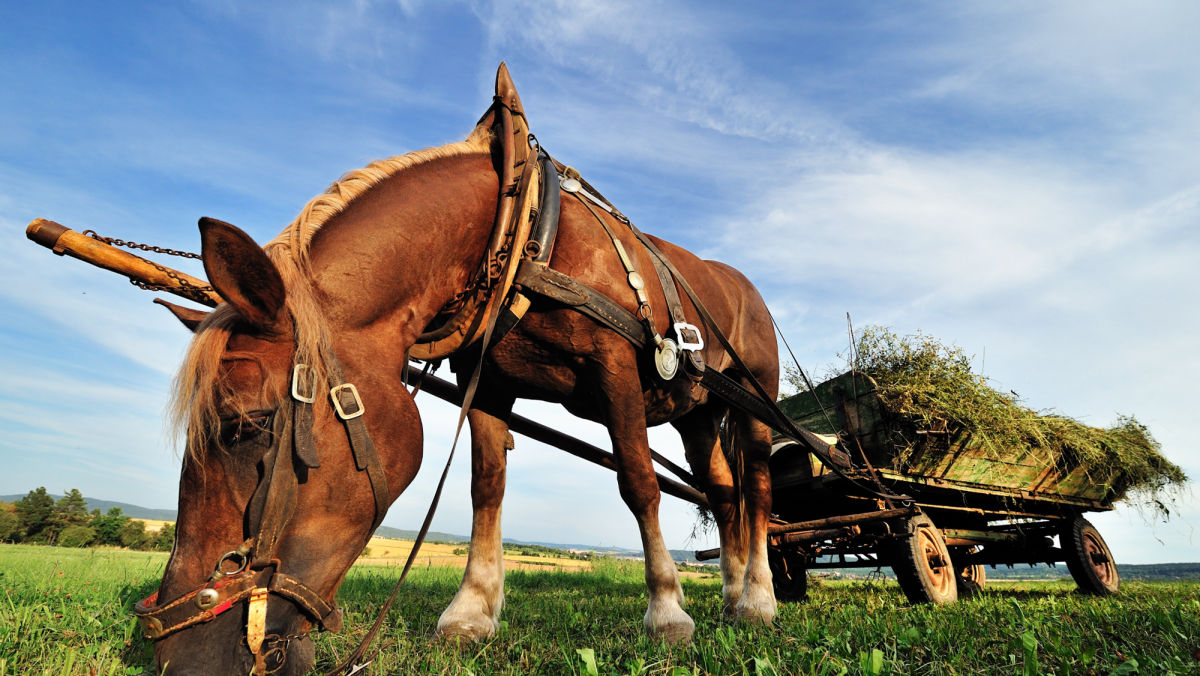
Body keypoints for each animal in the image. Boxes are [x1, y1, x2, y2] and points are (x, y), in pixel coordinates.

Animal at [147, 67, 777, 672]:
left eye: (246, 425)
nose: (180, 658)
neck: (526, 235)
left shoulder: (614, 365)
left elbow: (639, 483)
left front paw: (667, 610)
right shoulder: (491, 381)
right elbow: (486, 487)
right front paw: (471, 611)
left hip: (755, 405)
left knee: (757, 488)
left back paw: (758, 599)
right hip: (696, 413)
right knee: (723, 493)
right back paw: (730, 593)